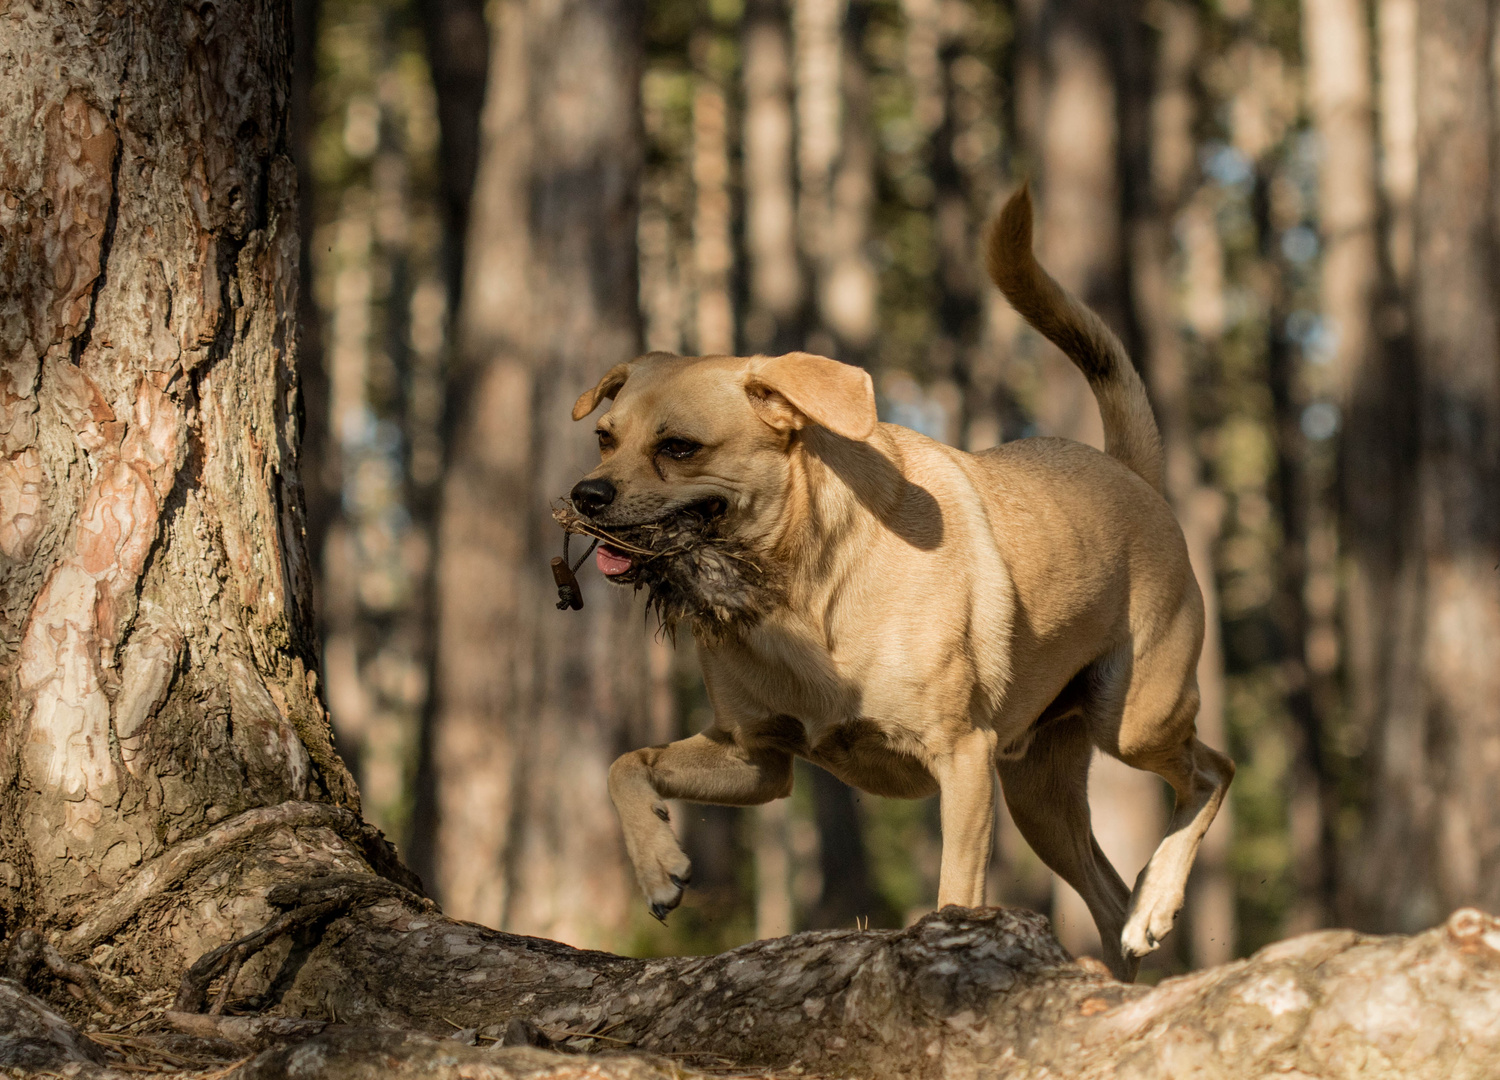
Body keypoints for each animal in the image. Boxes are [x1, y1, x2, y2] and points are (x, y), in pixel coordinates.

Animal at [564, 189, 1230, 984]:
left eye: (678, 448)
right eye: (604, 437)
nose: (584, 496)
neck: (793, 594)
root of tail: (1131, 473)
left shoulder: (964, 760)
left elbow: (955, 893)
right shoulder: (757, 758)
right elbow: (625, 764)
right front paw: (659, 863)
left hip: (1131, 719)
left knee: (1211, 771)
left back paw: (1156, 901)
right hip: (1039, 792)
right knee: (1106, 892)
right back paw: (1117, 953)